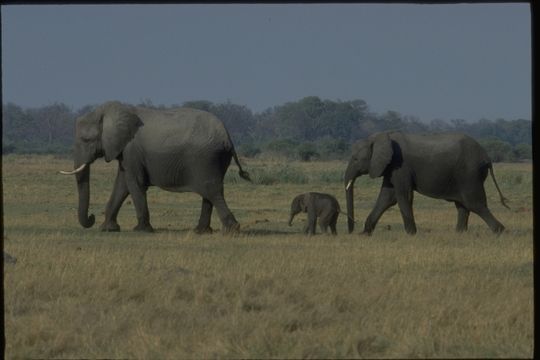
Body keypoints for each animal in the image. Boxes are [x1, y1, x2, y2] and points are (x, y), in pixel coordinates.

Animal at [59, 102, 251, 233]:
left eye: (86, 140)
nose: (91, 217)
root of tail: (227, 137)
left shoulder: (132, 150)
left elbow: (134, 183)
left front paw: (141, 230)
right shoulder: (126, 152)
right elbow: (122, 185)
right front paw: (108, 229)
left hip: (206, 158)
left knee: (211, 190)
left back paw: (231, 230)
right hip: (216, 159)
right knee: (209, 192)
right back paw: (201, 232)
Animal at [344, 131, 508, 235]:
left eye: (355, 159)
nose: (351, 231)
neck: (381, 137)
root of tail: (487, 156)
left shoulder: (400, 166)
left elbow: (403, 196)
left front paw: (411, 234)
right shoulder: (390, 167)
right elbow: (387, 197)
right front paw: (364, 234)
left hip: (469, 174)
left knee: (474, 203)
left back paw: (500, 231)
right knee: (463, 205)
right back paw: (460, 233)